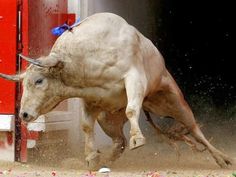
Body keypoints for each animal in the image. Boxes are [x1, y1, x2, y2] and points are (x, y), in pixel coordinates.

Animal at [0, 12, 232, 169]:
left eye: (39, 80)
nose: (23, 114)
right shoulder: (90, 99)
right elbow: (86, 125)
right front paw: (92, 157)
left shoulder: (135, 80)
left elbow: (131, 109)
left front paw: (137, 139)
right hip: (108, 118)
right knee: (119, 142)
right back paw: (106, 159)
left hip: (173, 100)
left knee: (194, 129)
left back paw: (222, 158)